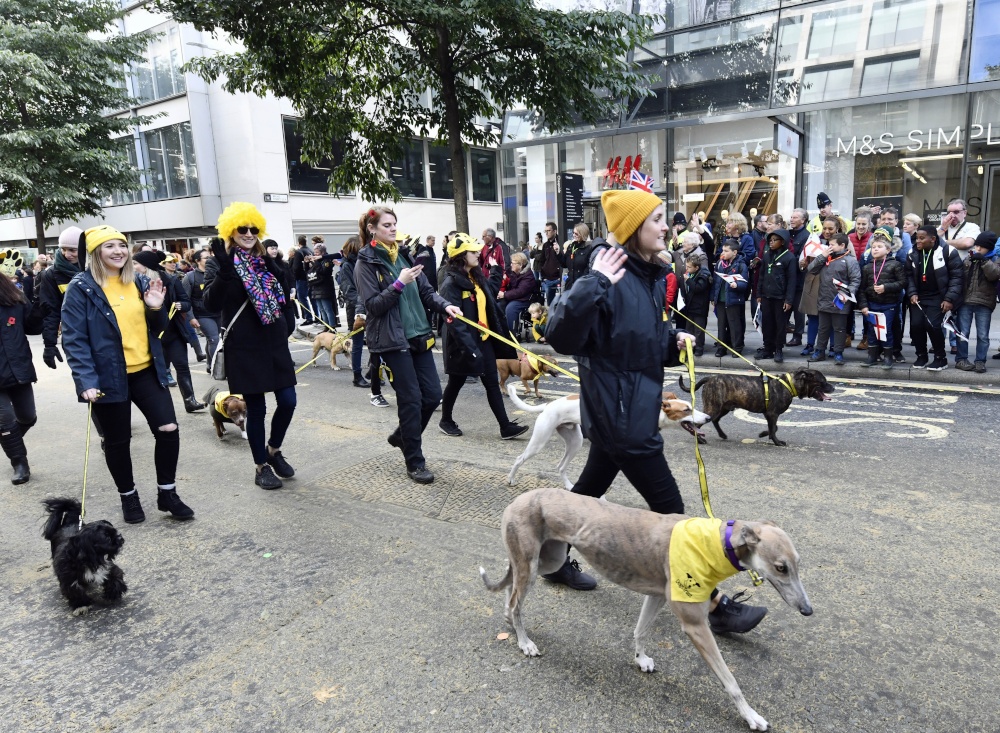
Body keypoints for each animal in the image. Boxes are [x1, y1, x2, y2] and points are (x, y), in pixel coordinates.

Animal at [480, 486, 816, 732]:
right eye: (781, 567)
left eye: (798, 563)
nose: (808, 610)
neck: (716, 544)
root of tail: (518, 499)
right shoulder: (695, 624)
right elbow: (730, 681)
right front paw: (751, 716)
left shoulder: (656, 596)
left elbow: (640, 631)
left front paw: (640, 659)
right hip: (533, 562)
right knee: (516, 600)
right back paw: (524, 642)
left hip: (547, 560)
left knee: (512, 594)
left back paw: (510, 621)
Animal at [508, 386, 712, 488]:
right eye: (686, 409)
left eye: (692, 406)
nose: (709, 418)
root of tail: (548, 405)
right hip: (539, 442)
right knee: (518, 458)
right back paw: (510, 479)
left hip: (575, 441)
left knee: (560, 467)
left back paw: (569, 486)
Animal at [680, 366, 836, 446]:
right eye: (823, 382)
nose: (834, 387)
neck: (789, 384)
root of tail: (710, 378)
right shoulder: (772, 414)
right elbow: (774, 428)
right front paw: (776, 442)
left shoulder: (769, 414)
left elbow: (773, 428)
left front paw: (764, 434)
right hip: (714, 407)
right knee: (697, 424)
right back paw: (699, 440)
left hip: (723, 408)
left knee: (715, 420)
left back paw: (722, 434)